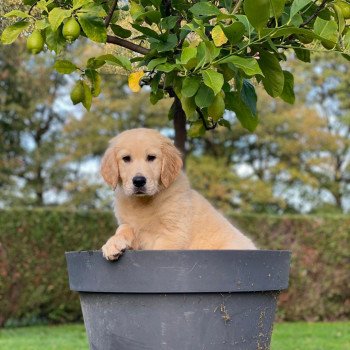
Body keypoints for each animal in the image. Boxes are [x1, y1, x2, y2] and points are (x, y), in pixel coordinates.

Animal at [100, 129, 256, 260]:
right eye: (126, 158)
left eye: (151, 157)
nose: (139, 181)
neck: (144, 202)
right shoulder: (131, 225)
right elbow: (123, 228)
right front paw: (112, 243)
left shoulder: (173, 234)